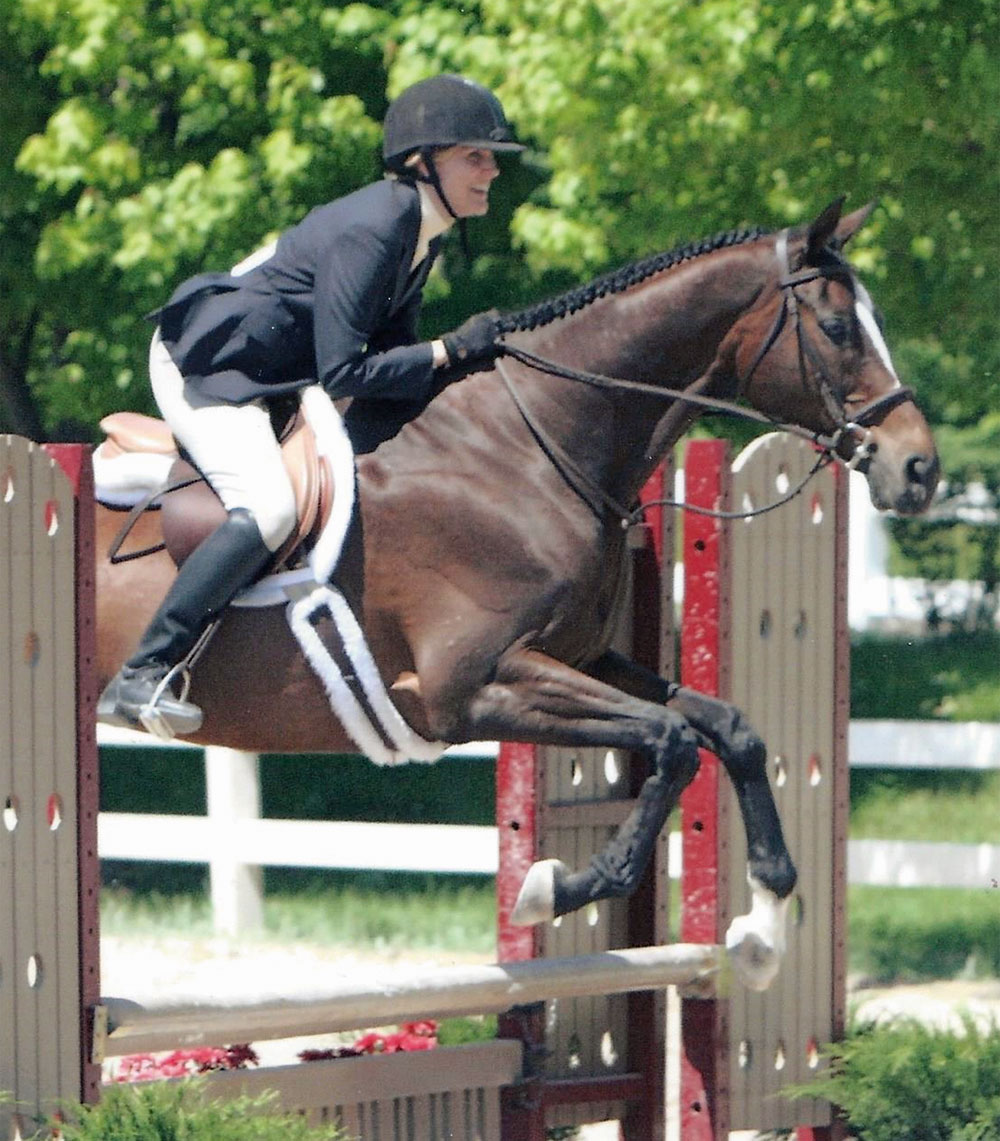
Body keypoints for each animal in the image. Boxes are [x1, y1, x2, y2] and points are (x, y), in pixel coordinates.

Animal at [91, 203, 936, 990]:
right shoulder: (472, 687)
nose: (919, 468)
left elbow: (729, 729)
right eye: (838, 327)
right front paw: (553, 888)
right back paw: (140, 690)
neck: (526, 447)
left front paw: (762, 927)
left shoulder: (578, 656)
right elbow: (672, 740)